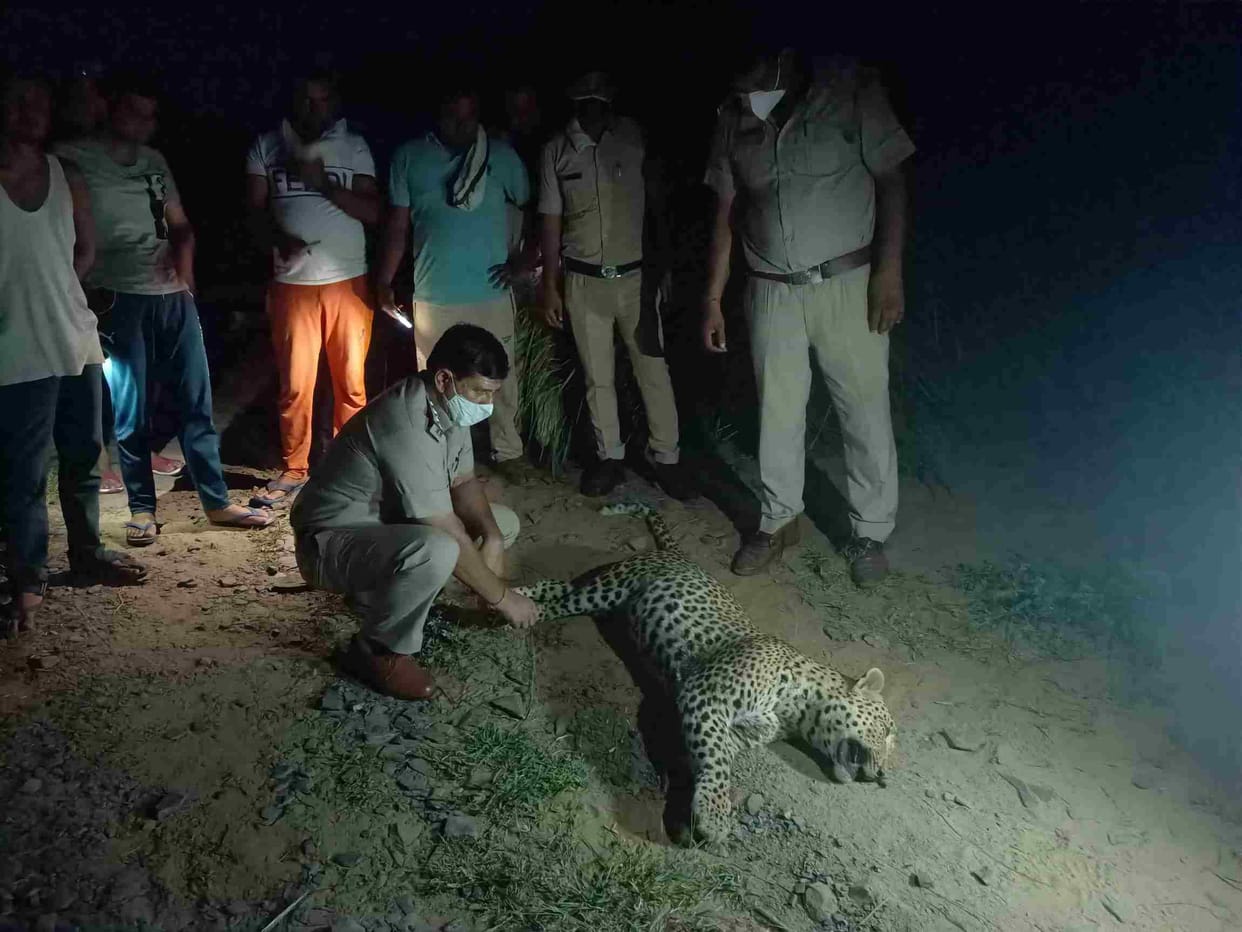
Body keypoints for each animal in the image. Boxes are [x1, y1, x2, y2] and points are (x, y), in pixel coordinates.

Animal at [515, 503, 896, 845]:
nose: (883, 777)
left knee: (558, 586)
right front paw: (714, 815)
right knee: (560, 602)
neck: (796, 708)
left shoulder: (738, 729)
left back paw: (519, 592)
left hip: (608, 602)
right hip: (610, 588)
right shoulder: (705, 696)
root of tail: (677, 554)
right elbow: (716, 760)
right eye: (887, 730)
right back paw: (517, 609)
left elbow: (713, 754)